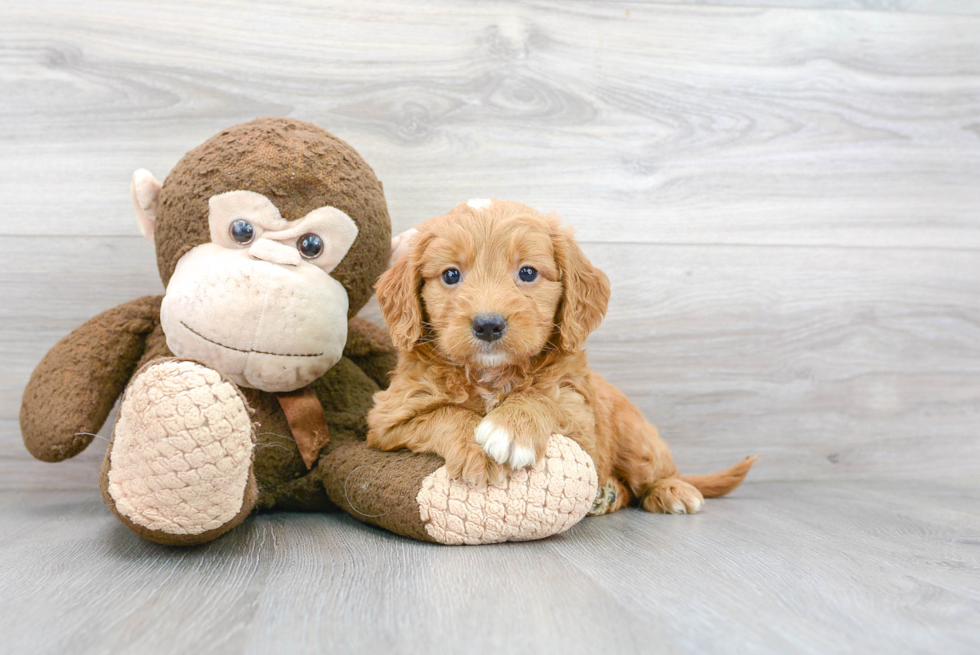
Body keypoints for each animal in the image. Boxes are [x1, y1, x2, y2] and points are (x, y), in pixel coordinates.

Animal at [368, 197, 756, 516]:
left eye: (527, 272)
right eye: (451, 275)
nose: (488, 325)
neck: (492, 375)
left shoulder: (582, 418)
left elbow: (543, 399)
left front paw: (512, 427)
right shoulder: (389, 418)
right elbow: (444, 413)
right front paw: (476, 448)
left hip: (636, 437)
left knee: (653, 472)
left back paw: (672, 490)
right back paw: (608, 494)